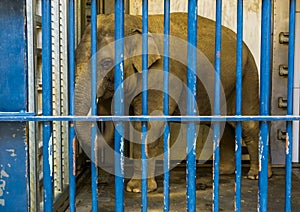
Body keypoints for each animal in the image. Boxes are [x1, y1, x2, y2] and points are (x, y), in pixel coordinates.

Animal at [74, 12, 272, 193]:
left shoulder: (160, 73)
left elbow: (147, 123)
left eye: (106, 63)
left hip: (248, 75)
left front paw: (137, 189)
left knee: (249, 125)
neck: (135, 20)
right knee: (221, 123)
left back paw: (256, 175)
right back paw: (223, 172)